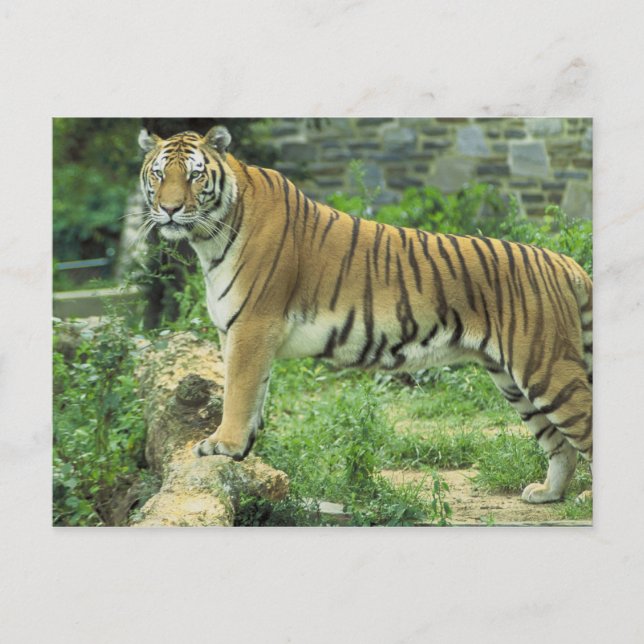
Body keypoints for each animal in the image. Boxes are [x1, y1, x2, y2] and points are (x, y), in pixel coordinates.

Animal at [138, 125, 593, 504]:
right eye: (159, 174)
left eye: (195, 175)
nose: (170, 209)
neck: (208, 237)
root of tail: (564, 261)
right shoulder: (236, 331)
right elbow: (251, 395)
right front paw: (242, 449)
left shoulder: (252, 326)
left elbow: (238, 392)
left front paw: (224, 445)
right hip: (513, 380)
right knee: (560, 446)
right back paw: (548, 493)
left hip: (546, 366)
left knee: (584, 427)